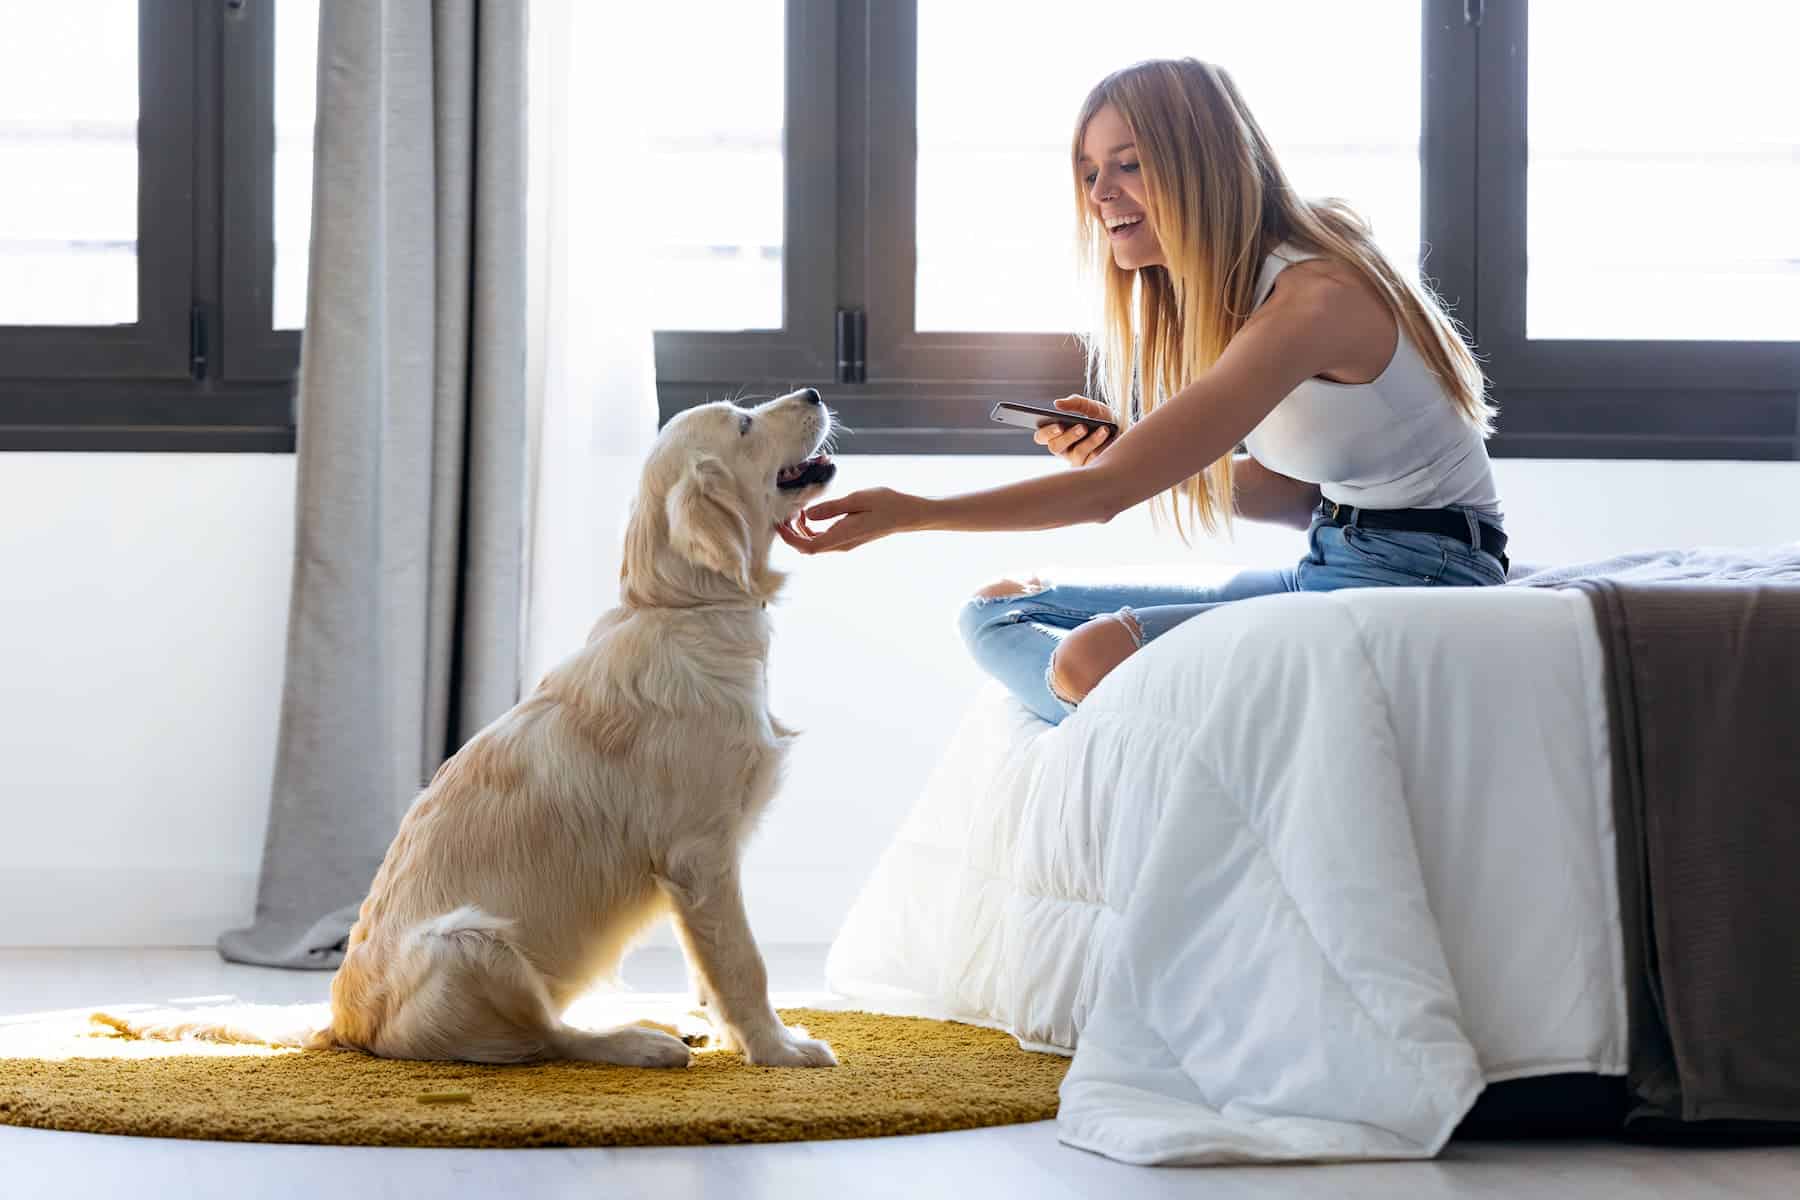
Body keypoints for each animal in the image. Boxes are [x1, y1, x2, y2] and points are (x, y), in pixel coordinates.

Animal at [105, 386, 842, 1072]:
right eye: (744, 424)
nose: (813, 392)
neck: (685, 610)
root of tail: (342, 1023)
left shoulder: (702, 870)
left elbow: (706, 971)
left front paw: (736, 1036)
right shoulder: (700, 855)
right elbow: (743, 965)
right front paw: (778, 1050)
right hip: (475, 943)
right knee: (545, 1039)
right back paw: (637, 1041)